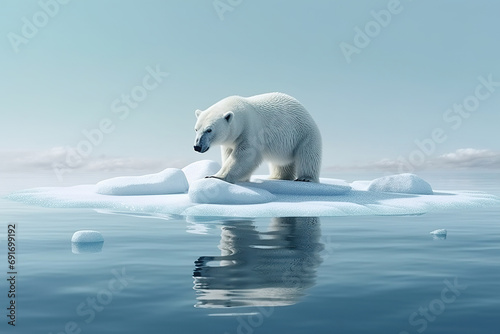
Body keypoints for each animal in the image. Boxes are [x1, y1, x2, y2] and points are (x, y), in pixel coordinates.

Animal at [193, 92, 322, 184]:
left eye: (209, 130)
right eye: (196, 129)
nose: (197, 146)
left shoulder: (251, 131)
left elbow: (245, 155)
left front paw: (215, 176)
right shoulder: (231, 139)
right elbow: (228, 154)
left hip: (305, 134)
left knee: (308, 156)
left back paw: (305, 178)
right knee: (282, 163)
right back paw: (277, 177)